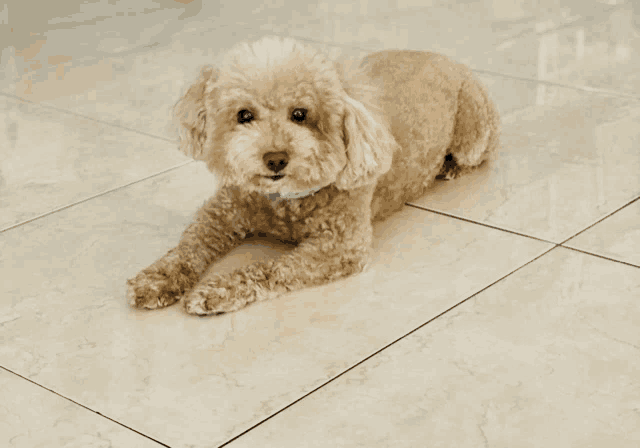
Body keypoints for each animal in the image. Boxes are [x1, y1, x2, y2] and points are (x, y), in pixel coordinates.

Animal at [126, 36, 500, 316]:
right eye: (244, 115)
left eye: (300, 114)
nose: (275, 159)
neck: (284, 202)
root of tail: (448, 58)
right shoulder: (221, 212)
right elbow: (188, 246)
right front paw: (158, 279)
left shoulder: (339, 247)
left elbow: (270, 268)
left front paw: (217, 289)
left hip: (473, 128)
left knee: (481, 153)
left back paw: (450, 166)